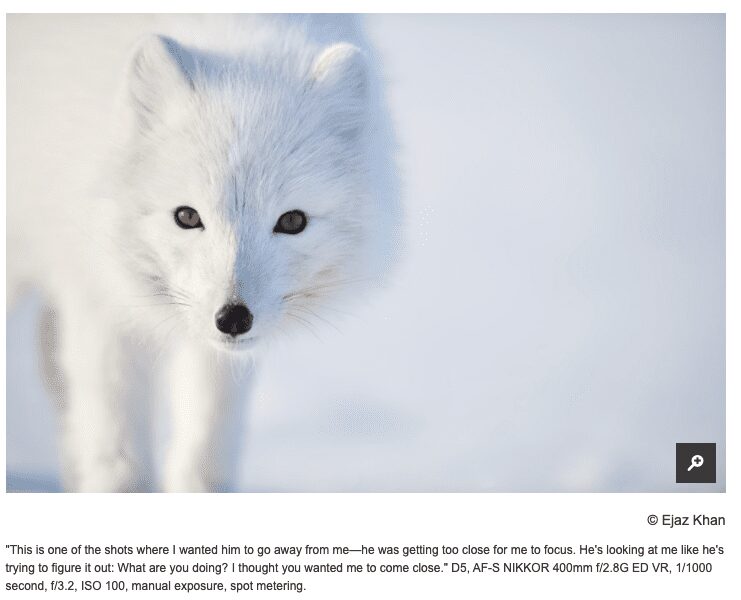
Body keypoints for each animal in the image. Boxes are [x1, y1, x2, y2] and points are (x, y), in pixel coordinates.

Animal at [6, 14, 399, 492]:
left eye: (292, 221)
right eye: (187, 216)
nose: (233, 318)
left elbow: (205, 449)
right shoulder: (101, 304)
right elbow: (120, 457)